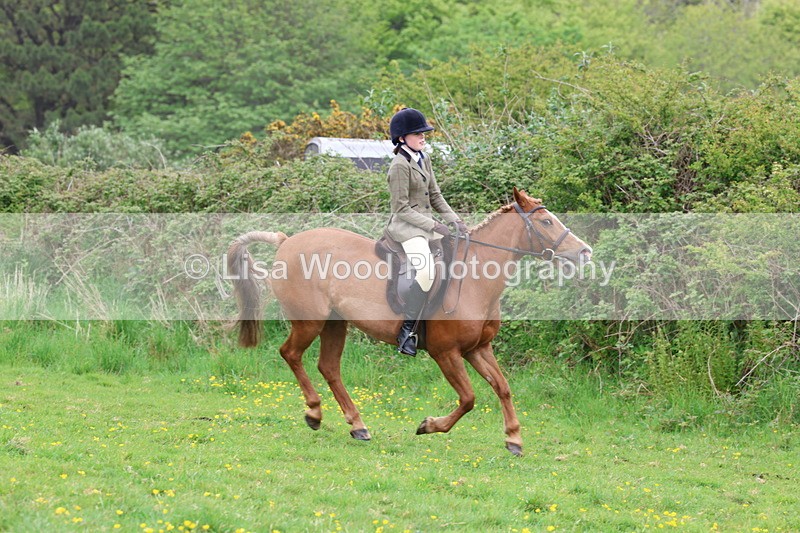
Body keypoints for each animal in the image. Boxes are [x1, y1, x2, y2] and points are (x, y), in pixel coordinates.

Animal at [227, 187, 592, 456]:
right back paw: (314, 412)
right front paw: (429, 426)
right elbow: (469, 398)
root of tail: (287, 240)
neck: (475, 278)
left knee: (329, 367)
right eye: (546, 222)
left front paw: (514, 439)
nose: (585, 252)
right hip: (309, 321)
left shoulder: (478, 348)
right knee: (291, 354)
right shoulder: (446, 353)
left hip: (335, 323)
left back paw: (358, 425)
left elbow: (502, 387)